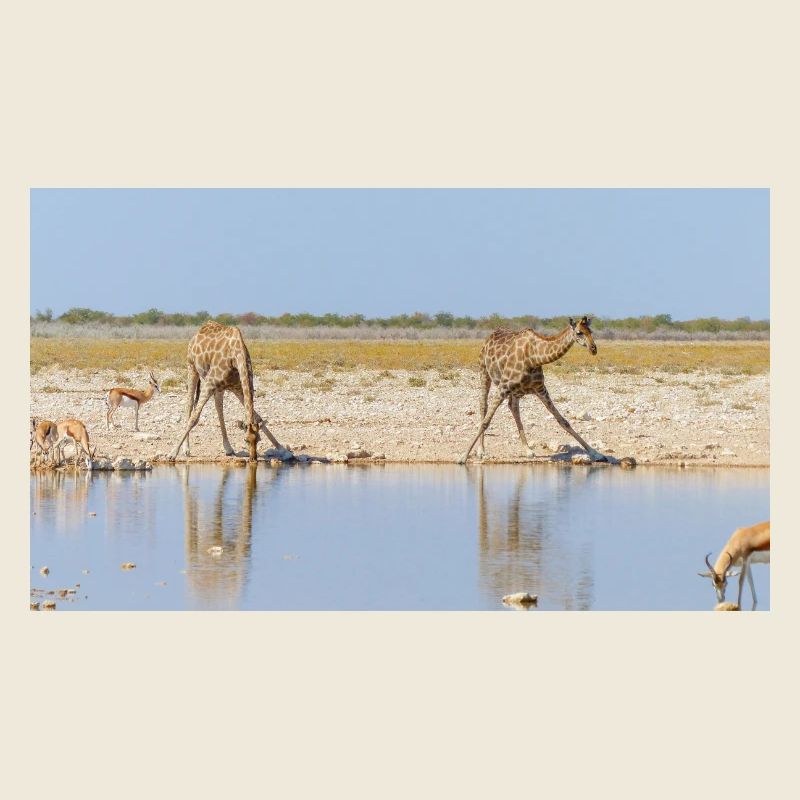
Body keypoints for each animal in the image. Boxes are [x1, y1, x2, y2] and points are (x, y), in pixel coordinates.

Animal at [167, 321, 284, 462]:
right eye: (245, 440)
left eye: (258, 440)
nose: (253, 459)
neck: (236, 355)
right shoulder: (209, 384)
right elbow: (194, 418)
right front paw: (172, 453)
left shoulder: (238, 387)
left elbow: (258, 417)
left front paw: (281, 448)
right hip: (192, 367)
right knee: (189, 405)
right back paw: (186, 449)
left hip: (220, 387)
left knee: (219, 408)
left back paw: (228, 448)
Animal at [458, 316, 608, 464]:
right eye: (579, 332)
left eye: (591, 331)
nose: (593, 349)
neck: (534, 357)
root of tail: (491, 335)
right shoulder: (503, 387)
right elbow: (485, 422)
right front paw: (463, 456)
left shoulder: (540, 389)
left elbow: (563, 421)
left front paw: (597, 454)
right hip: (484, 372)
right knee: (483, 405)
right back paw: (481, 450)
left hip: (516, 391)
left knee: (513, 407)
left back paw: (527, 450)